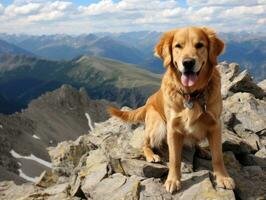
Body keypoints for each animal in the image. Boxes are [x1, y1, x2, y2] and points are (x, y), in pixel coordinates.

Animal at [108, 25, 235, 193]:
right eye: (178, 46)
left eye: (200, 45)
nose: (188, 62)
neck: (191, 94)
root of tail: (148, 102)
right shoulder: (173, 128)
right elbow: (175, 158)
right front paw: (173, 180)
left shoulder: (215, 125)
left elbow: (218, 156)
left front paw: (223, 177)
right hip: (157, 125)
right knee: (145, 143)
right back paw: (151, 156)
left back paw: (202, 151)